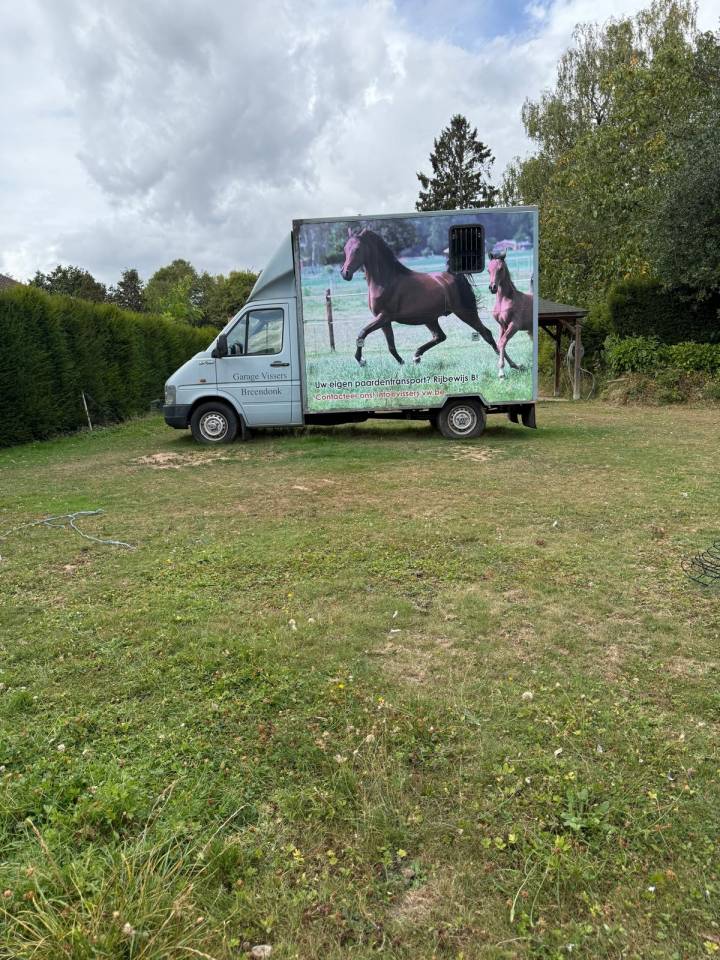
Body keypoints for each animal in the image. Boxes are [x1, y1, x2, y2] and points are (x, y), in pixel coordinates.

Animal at [340, 228, 518, 370]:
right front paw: (402, 363)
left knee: (486, 333)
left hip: (465, 312)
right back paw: (416, 356)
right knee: (440, 336)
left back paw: (512, 364)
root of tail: (454, 275)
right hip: (430, 318)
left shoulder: (383, 317)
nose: (345, 273)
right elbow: (390, 345)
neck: (385, 280)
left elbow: (362, 333)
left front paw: (361, 360)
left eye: (357, 249)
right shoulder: (384, 320)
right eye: (345, 249)